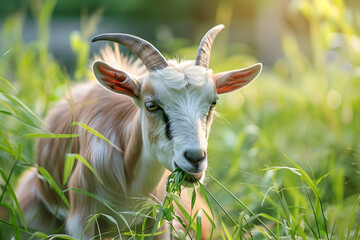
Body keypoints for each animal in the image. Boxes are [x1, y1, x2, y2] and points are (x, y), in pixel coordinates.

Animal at [15, 25, 262, 239]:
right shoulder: (82, 219)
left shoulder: (158, 220)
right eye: (151, 105)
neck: (130, 188)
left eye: (213, 103)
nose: (195, 158)